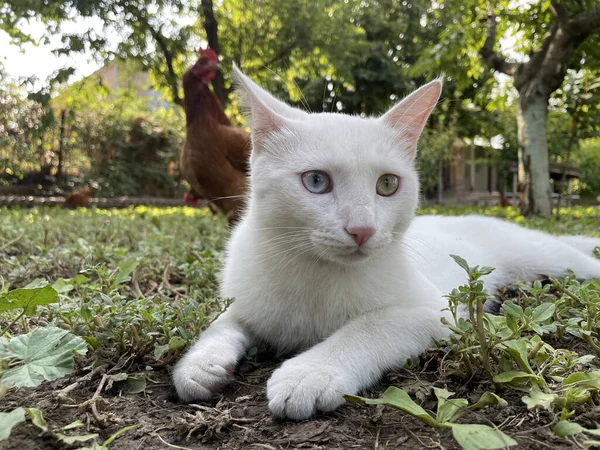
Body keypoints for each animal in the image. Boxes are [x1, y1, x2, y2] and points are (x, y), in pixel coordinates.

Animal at [172, 65, 600, 420]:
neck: (317, 271)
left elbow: (369, 327)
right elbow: (223, 321)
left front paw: (311, 372)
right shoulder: (246, 295)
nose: (362, 229)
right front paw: (200, 364)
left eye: (388, 184)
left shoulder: (433, 311)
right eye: (316, 181)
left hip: (553, 259)